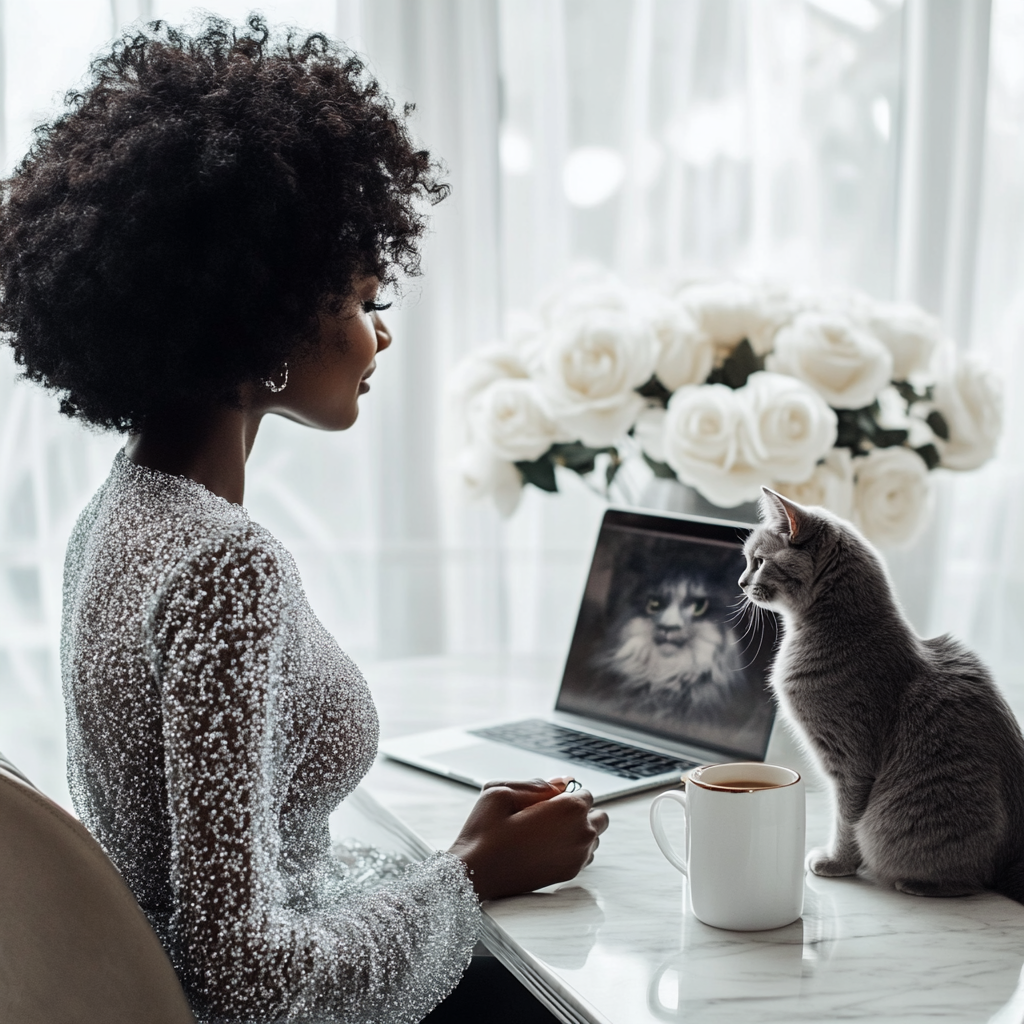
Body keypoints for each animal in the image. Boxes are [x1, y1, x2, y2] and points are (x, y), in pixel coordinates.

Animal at [741, 483, 1024, 901]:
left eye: (758, 561)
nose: (741, 583)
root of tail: (1015, 859)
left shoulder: (851, 760)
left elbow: (847, 817)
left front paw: (835, 863)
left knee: (971, 881)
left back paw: (915, 884)